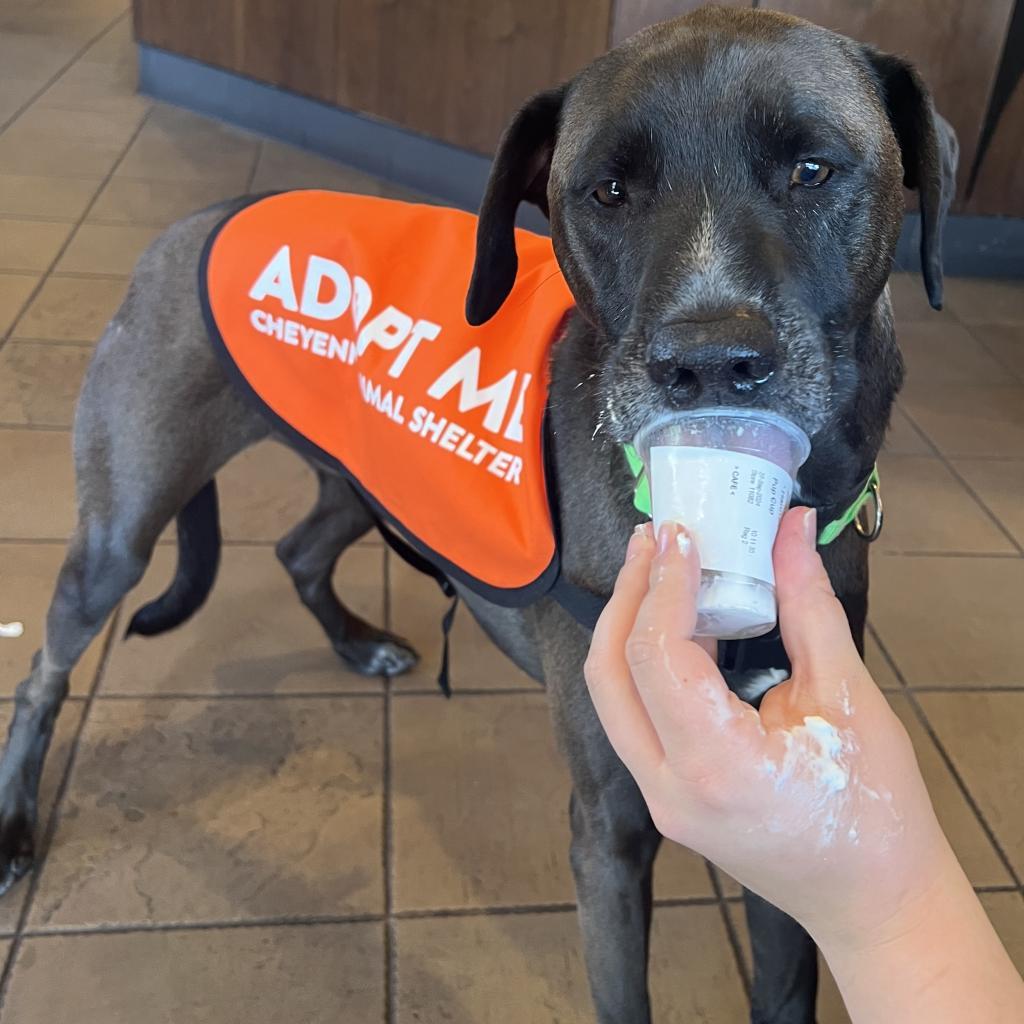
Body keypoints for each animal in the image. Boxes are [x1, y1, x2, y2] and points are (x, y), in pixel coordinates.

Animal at [4, 8, 954, 1024]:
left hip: (362, 481)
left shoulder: (783, 811)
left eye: (812, 169)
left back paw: (358, 644)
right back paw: (17, 823)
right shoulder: (609, 830)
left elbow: (784, 986)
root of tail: (186, 226)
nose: (706, 365)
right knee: (43, 672)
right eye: (607, 190)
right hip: (118, 536)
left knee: (299, 549)